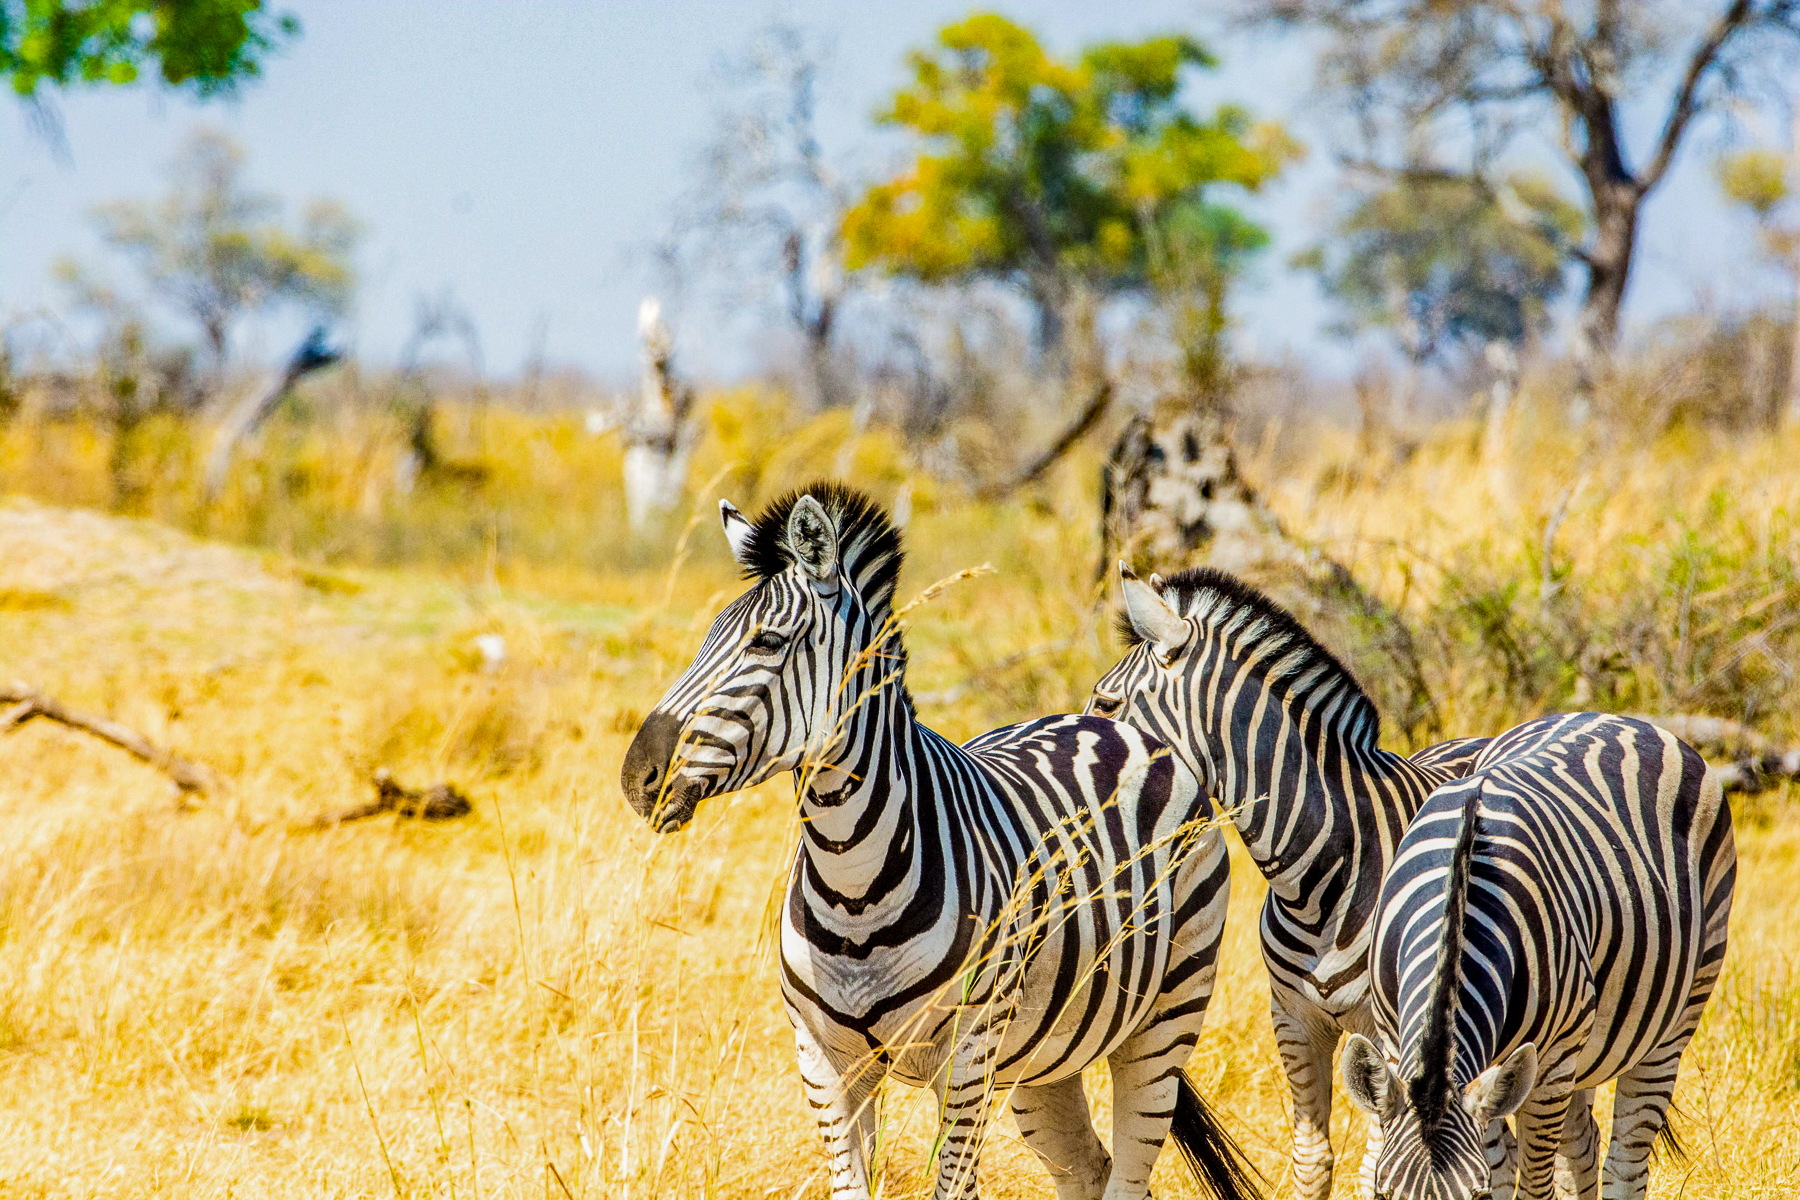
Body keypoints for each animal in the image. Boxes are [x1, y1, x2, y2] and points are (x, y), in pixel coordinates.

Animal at [619, 483, 1260, 1200]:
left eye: (768, 641)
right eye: (706, 637)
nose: (639, 776)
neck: (851, 884)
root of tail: (1110, 725)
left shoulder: (965, 1057)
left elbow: (953, 1187)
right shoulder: (823, 1061)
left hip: (1167, 1018)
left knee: (1128, 1173)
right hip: (1047, 1056)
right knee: (1086, 1170)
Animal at [1086, 564, 1492, 1199]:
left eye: (1106, 702)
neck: (1321, 878)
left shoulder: (1387, 1033)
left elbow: (1376, 1166)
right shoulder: (1294, 1021)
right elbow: (1312, 1160)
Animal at [1340, 712, 1735, 1200]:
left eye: (1476, 1197)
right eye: (1383, 1193)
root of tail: (1621, 718)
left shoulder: (1550, 1068)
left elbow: (1531, 1186)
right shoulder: (1400, 1042)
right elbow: (1504, 1166)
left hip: (1672, 1021)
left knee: (1626, 1163)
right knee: (1582, 1145)